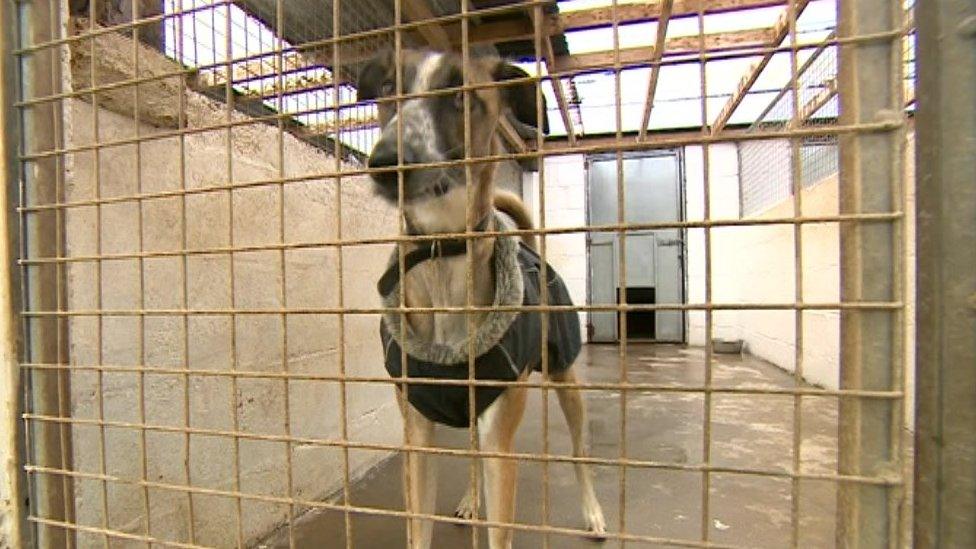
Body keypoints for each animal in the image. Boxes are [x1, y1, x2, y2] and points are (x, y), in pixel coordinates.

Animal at [356, 49, 604, 544]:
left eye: (461, 95)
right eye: (389, 87)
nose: (386, 162)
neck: (444, 252)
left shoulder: (500, 446)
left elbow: (499, 528)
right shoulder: (417, 438)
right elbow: (418, 529)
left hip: (565, 375)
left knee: (579, 449)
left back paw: (593, 512)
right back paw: (472, 500)